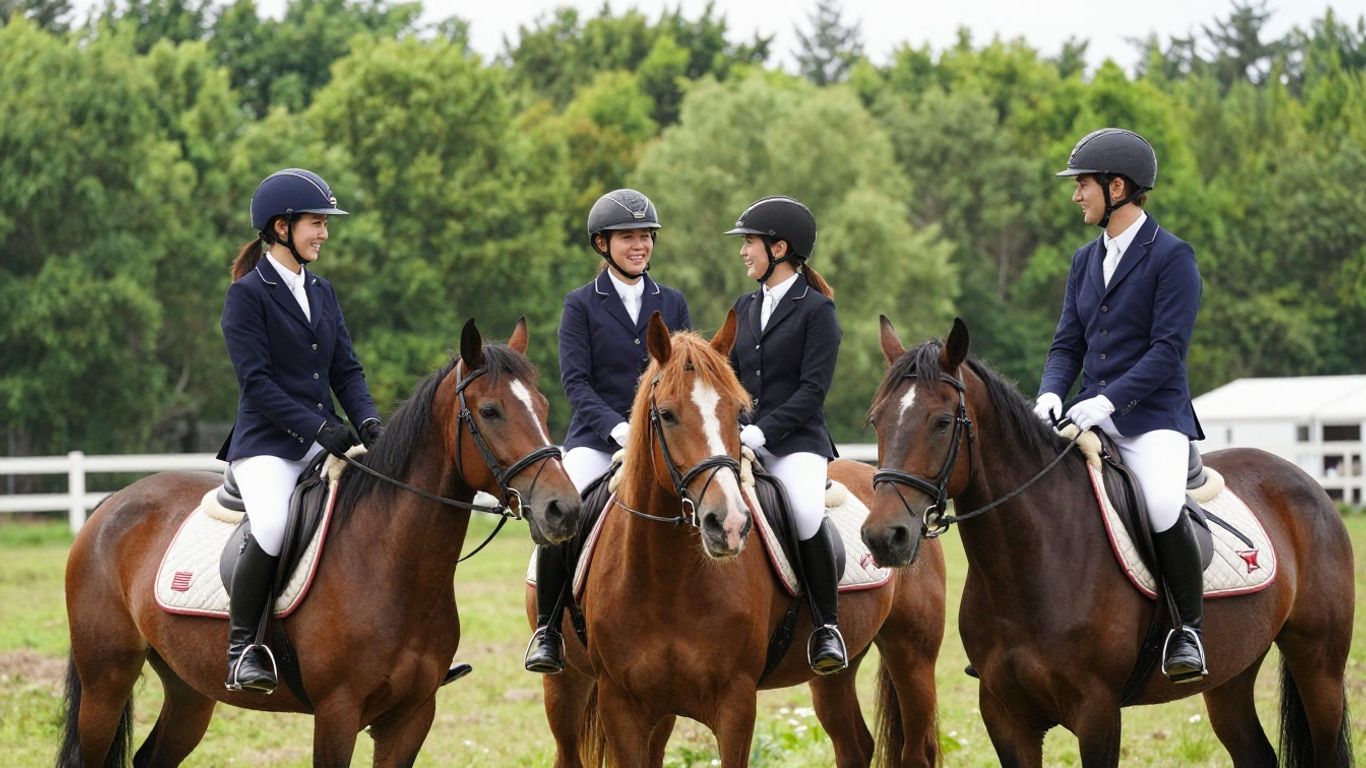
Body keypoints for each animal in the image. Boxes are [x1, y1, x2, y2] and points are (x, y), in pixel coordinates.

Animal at [58, 318, 582, 767]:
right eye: (490, 411)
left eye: (543, 408)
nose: (564, 509)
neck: (392, 564)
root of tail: (109, 506)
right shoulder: (337, 713)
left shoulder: (411, 717)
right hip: (106, 679)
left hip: (188, 688)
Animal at [530, 310, 947, 768]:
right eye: (668, 414)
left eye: (736, 412)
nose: (727, 523)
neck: (665, 579)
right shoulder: (622, 704)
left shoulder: (735, 701)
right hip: (568, 685)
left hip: (912, 652)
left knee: (914, 747)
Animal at [861, 316, 1355, 767]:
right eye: (875, 420)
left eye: (943, 421)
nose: (884, 536)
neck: (1032, 563)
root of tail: (1303, 480)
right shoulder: (1004, 714)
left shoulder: (1096, 711)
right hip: (1230, 675)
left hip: (1320, 666)